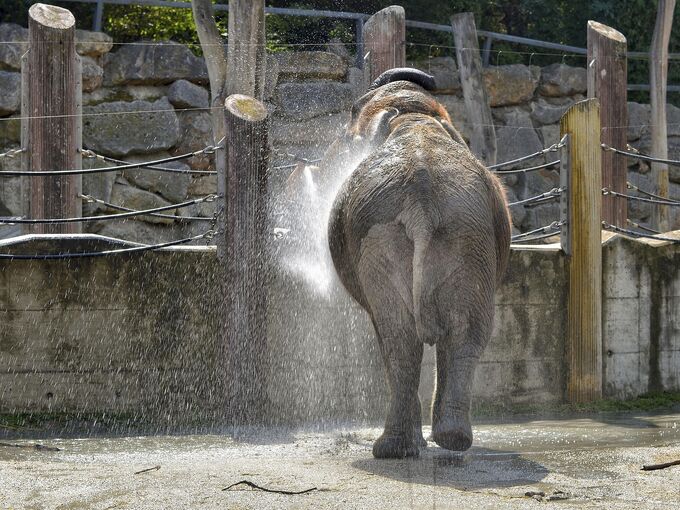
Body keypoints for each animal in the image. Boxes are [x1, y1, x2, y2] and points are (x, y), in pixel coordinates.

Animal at [326, 68, 511, 459]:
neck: (412, 115)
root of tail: (420, 200)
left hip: (383, 237)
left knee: (398, 336)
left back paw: (397, 448)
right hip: (467, 234)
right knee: (463, 330)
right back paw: (449, 440)